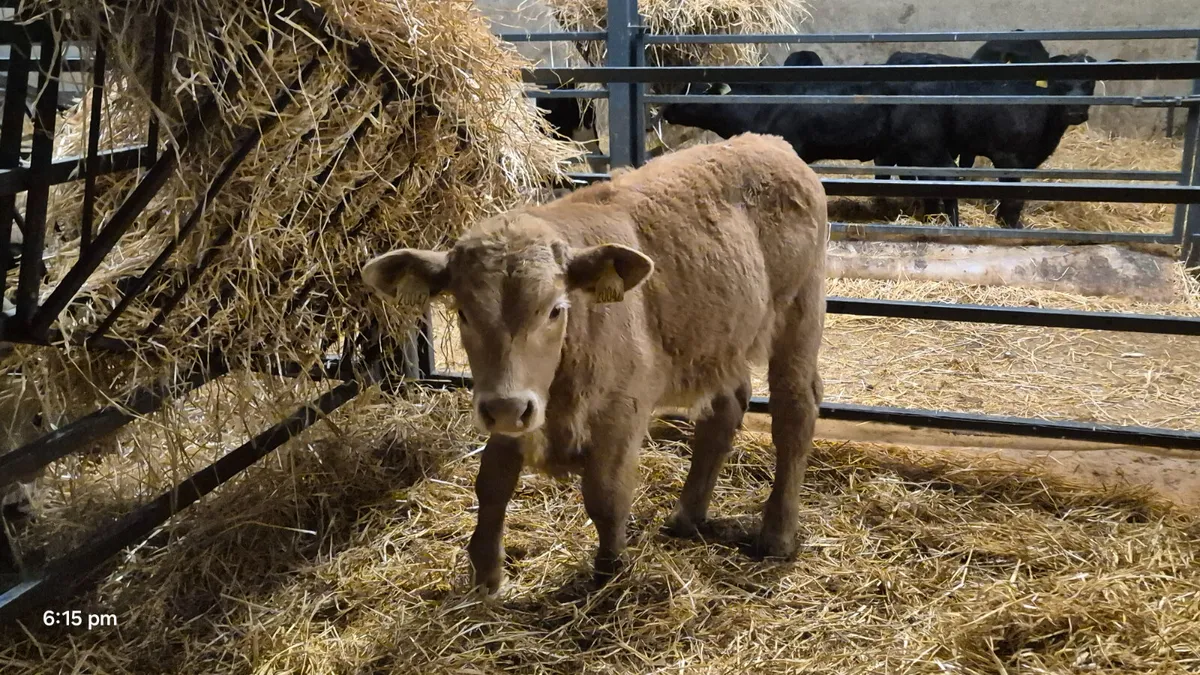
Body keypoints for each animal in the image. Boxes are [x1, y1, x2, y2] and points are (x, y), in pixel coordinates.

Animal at [361, 133, 828, 594]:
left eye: (555, 309)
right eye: (462, 312)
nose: (508, 407)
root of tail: (772, 144)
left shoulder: (621, 410)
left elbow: (604, 494)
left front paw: (609, 571)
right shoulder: (515, 405)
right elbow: (491, 483)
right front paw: (486, 575)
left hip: (799, 318)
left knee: (794, 413)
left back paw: (777, 534)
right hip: (721, 339)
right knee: (726, 408)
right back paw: (688, 515)